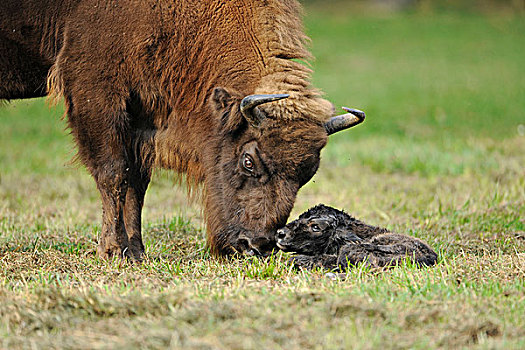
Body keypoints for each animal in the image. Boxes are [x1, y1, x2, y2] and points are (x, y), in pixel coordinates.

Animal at [1, 0, 364, 260]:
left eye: (307, 174)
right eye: (248, 161)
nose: (257, 245)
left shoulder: (141, 114)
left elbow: (137, 183)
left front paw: (136, 252)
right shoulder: (96, 92)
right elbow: (113, 174)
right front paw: (112, 251)